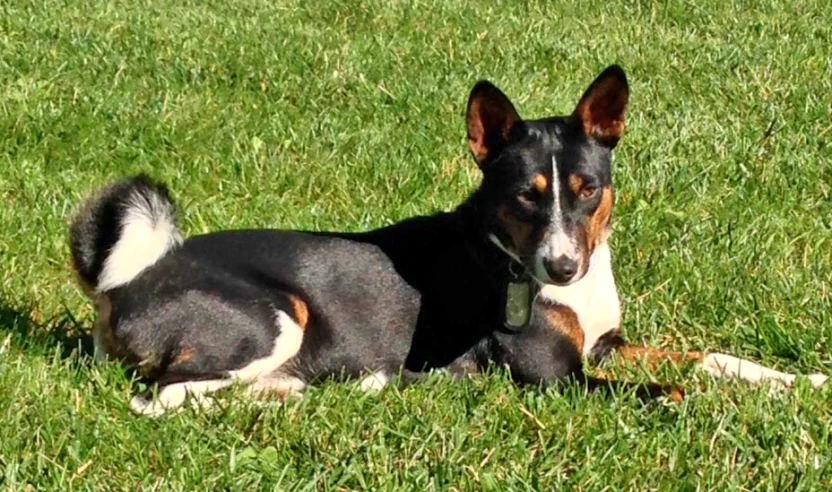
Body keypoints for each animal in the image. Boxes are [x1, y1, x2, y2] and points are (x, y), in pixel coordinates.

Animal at [70, 65, 824, 416]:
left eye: (587, 189)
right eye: (525, 194)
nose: (561, 265)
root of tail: (123, 284)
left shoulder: (607, 346)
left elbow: (712, 360)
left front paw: (799, 380)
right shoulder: (561, 379)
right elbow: (675, 390)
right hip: (274, 317)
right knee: (161, 397)